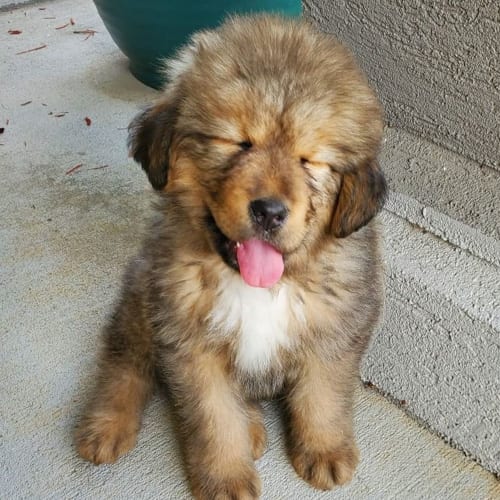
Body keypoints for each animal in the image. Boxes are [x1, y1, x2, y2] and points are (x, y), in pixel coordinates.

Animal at [76, 13, 386, 498]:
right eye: (238, 143)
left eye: (310, 161)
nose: (270, 211)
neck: (261, 285)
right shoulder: (188, 342)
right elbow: (213, 418)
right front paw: (225, 476)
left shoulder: (337, 328)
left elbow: (322, 396)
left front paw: (324, 450)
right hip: (141, 298)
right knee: (124, 361)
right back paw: (106, 425)